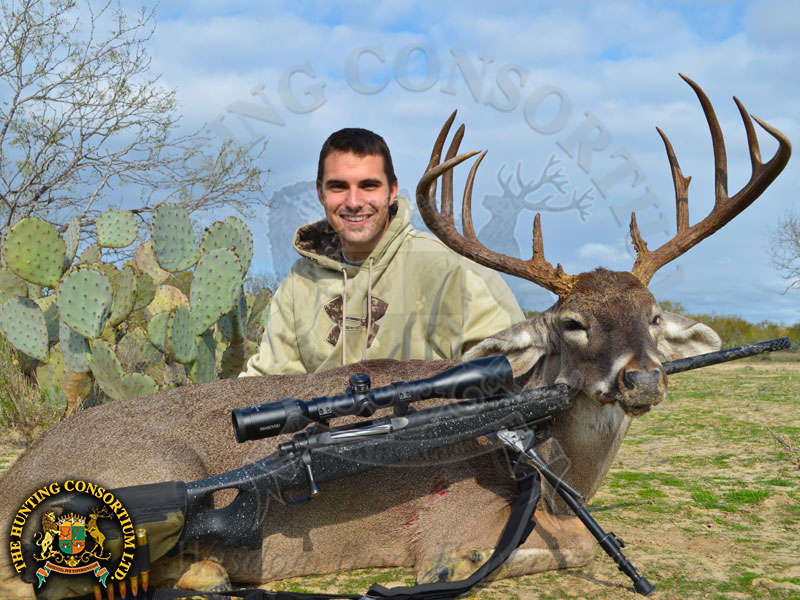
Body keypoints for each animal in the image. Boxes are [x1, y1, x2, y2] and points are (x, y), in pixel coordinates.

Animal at [0, 75, 790, 599]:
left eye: (653, 314)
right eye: (572, 322)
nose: (642, 377)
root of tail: (16, 480)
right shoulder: (453, 522)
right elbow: (575, 550)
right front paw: (454, 571)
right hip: (146, 467)